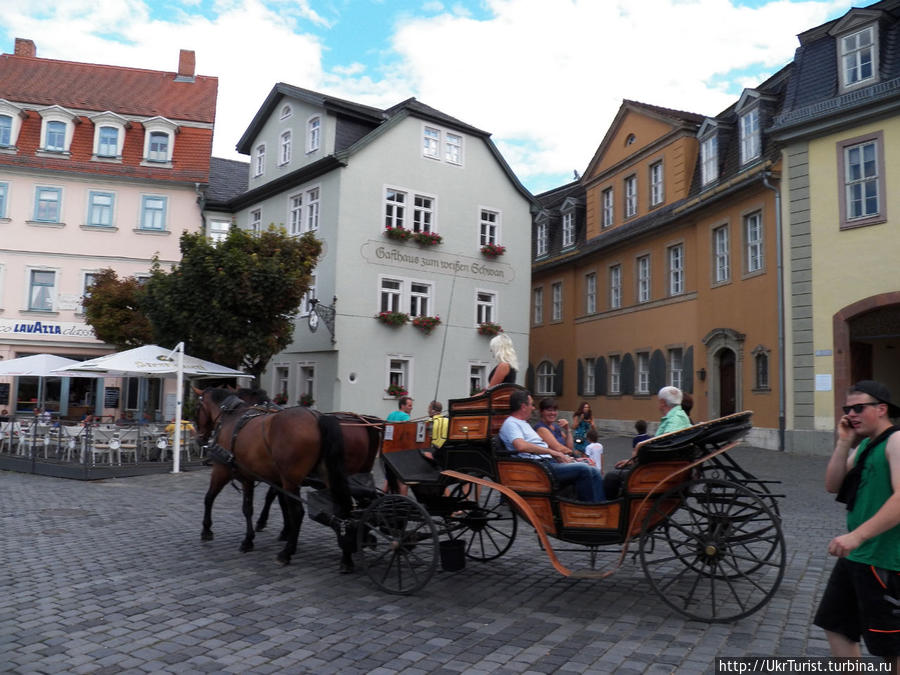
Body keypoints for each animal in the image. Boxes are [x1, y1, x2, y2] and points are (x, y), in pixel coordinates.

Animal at [195, 386, 382, 572]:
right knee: (343, 510)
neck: (233, 418)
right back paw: (348, 554)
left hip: (293, 478)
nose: (199, 439)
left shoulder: (226, 471)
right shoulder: (271, 478)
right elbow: (276, 501)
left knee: (300, 512)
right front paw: (282, 530)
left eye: (198, 408)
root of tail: (319, 418)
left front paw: (213, 531)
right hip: (332, 476)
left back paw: (286, 553)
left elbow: (216, 499)